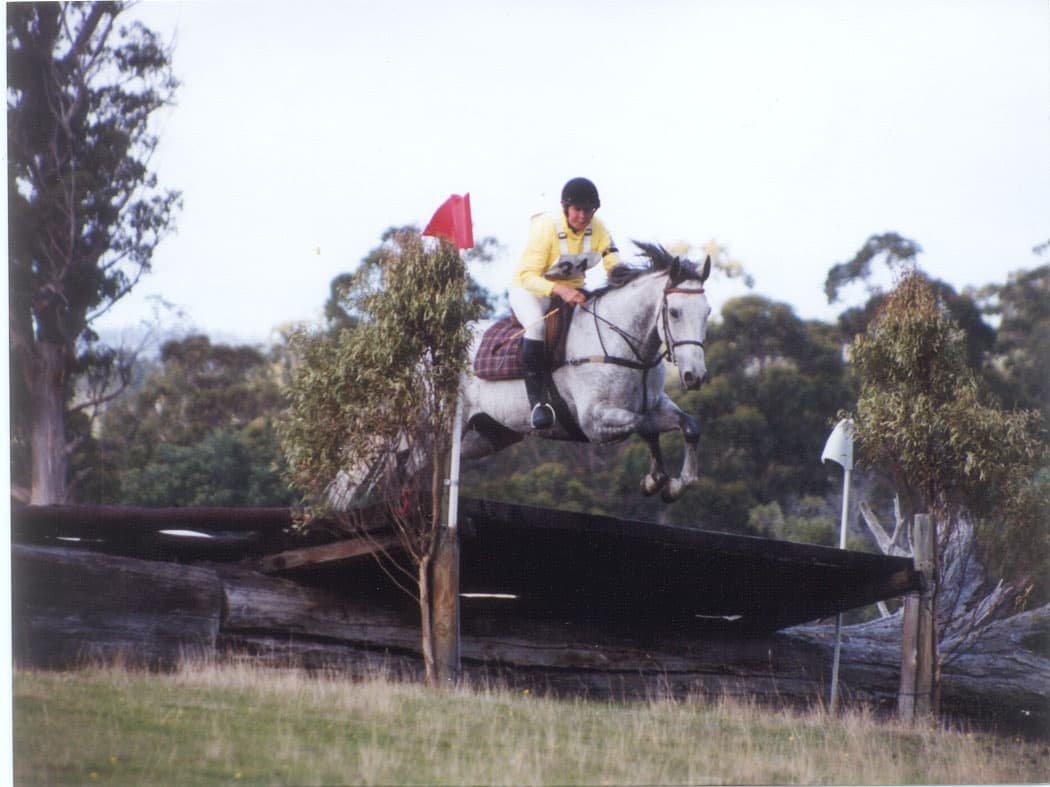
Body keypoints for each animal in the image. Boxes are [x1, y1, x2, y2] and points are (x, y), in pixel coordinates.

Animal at [461, 241, 712, 502]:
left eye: (708, 312)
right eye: (674, 312)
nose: (696, 376)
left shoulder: (655, 403)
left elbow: (690, 426)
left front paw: (675, 485)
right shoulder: (595, 421)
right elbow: (646, 425)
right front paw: (656, 480)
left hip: (486, 437)